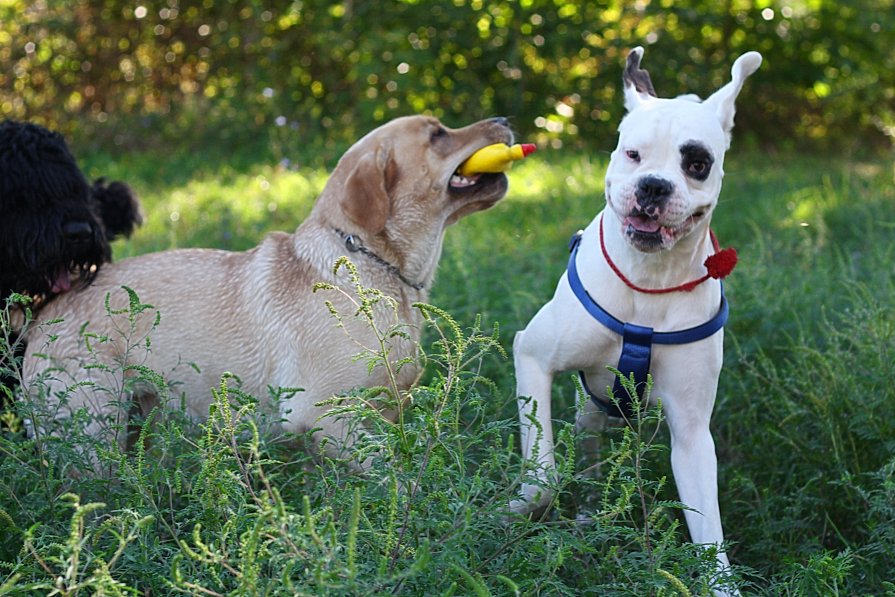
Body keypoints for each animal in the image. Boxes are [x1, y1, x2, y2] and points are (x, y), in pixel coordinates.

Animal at [24, 115, 516, 460]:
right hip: (92, 436)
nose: (505, 120)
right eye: (437, 134)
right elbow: (388, 474)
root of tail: (45, 311)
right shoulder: (323, 417)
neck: (373, 265)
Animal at [512, 47, 764, 592]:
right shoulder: (532, 358)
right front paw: (508, 511)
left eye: (697, 163)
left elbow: (709, 534)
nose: (653, 186)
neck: (649, 284)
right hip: (587, 415)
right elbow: (543, 478)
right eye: (632, 155)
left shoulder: (691, 434)